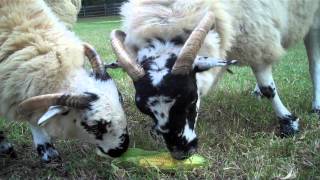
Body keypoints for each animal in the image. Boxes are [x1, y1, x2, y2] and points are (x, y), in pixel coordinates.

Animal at [109, 0, 320, 160]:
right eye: (144, 110)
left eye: (191, 100)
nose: (181, 153)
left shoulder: (258, 39)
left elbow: (268, 87)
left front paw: (288, 123)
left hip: (313, 20)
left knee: (314, 65)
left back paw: (316, 106)